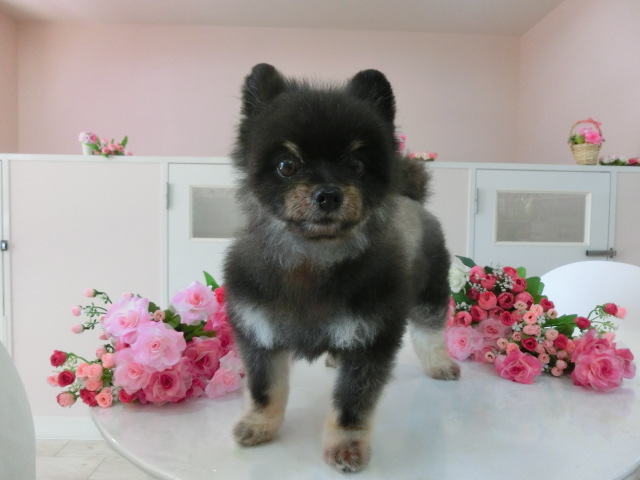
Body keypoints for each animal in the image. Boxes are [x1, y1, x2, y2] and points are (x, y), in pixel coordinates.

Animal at [223, 63, 460, 473]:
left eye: (355, 165)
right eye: (287, 165)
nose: (328, 194)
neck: (311, 260)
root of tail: (412, 198)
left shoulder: (371, 339)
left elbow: (352, 406)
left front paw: (347, 446)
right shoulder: (258, 330)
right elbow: (265, 389)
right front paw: (260, 424)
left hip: (431, 291)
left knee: (430, 332)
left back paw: (439, 363)